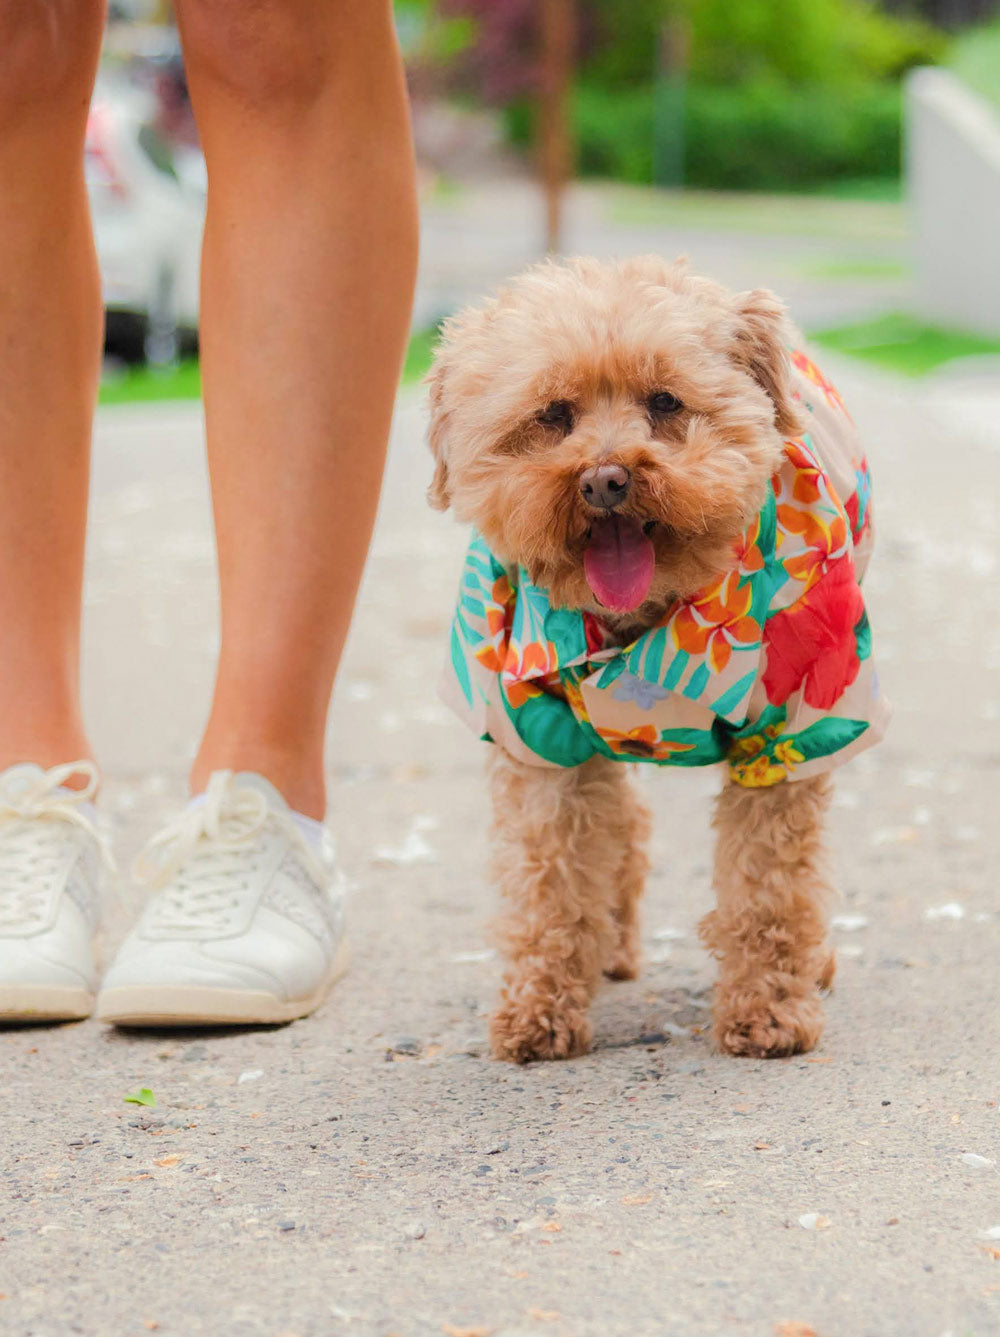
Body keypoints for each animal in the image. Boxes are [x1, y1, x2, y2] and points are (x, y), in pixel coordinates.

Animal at [425, 252, 887, 1064]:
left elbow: (771, 886)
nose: (606, 480)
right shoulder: (537, 738)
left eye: (666, 401)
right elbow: (552, 882)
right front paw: (542, 1006)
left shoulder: (791, 733)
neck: (644, 619)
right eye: (553, 415)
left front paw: (769, 1010)